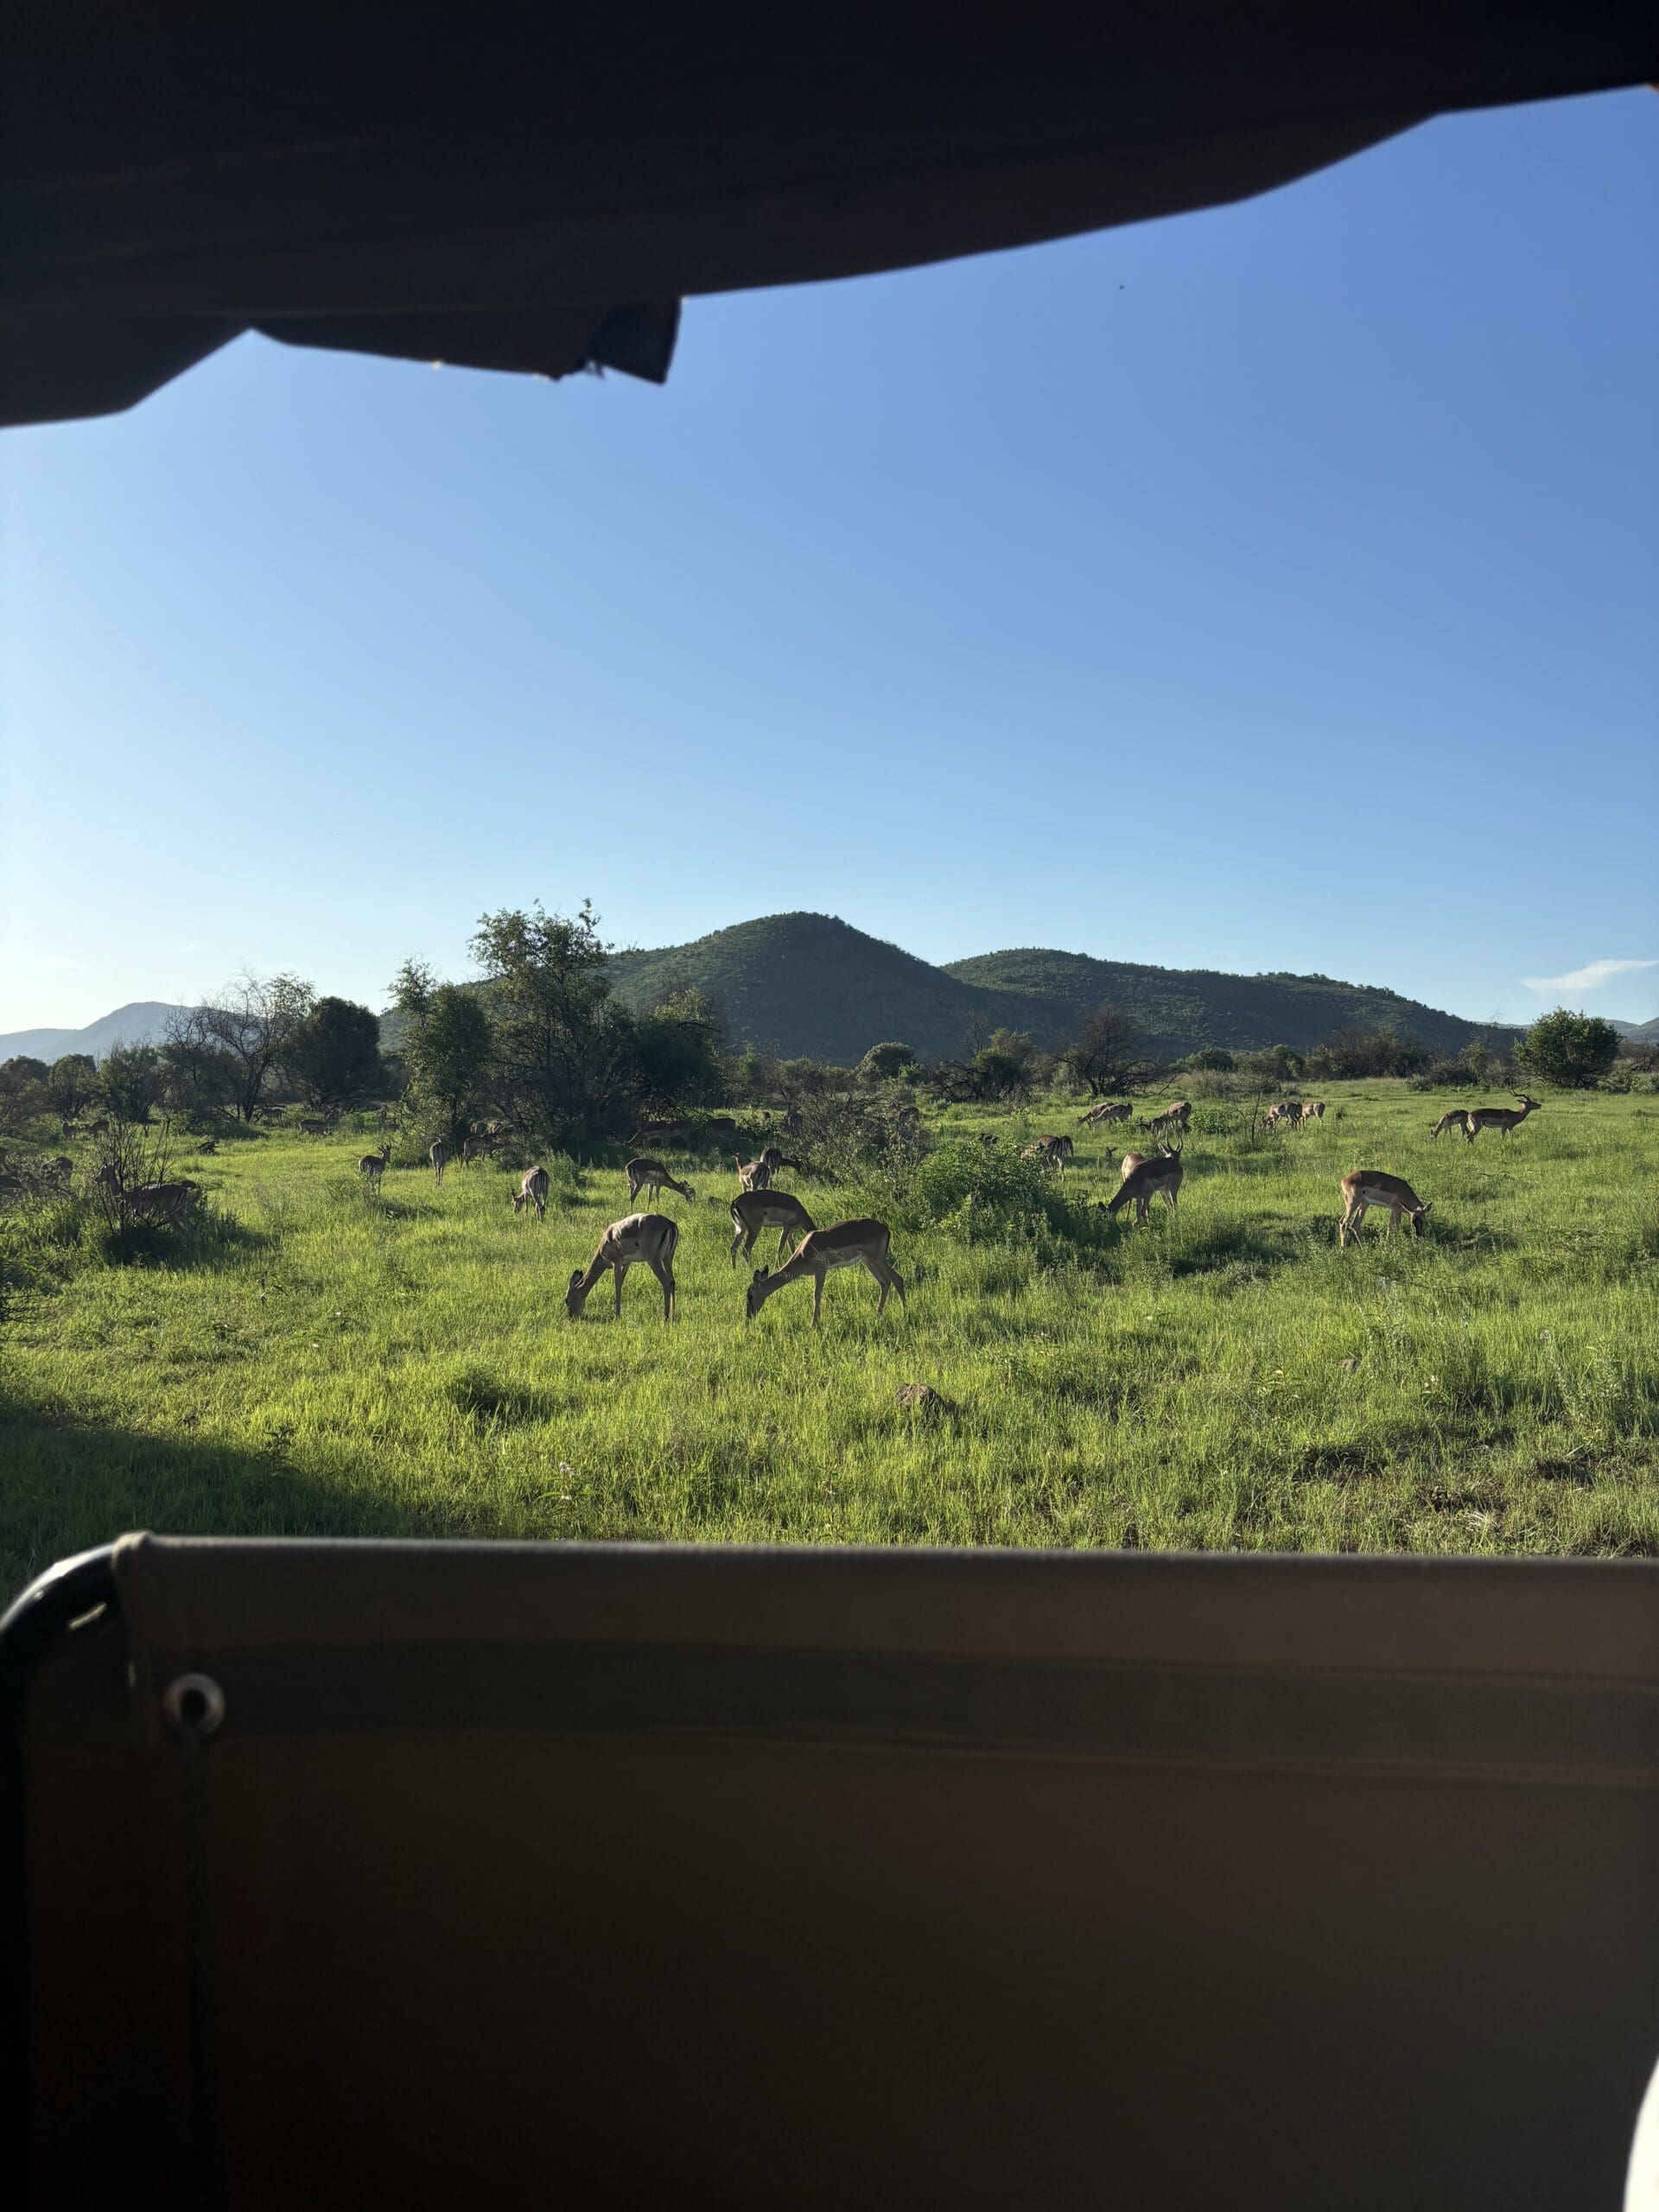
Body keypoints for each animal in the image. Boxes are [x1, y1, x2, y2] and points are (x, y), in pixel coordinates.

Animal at [752, 1221, 911, 1318]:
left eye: (750, 1295)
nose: (749, 1315)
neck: (804, 1251)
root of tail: (885, 1228)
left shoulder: (821, 1270)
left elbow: (816, 1296)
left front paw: (814, 1324)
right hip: (868, 1261)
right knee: (884, 1283)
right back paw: (878, 1314)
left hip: (877, 1260)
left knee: (897, 1279)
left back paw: (905, 1314)